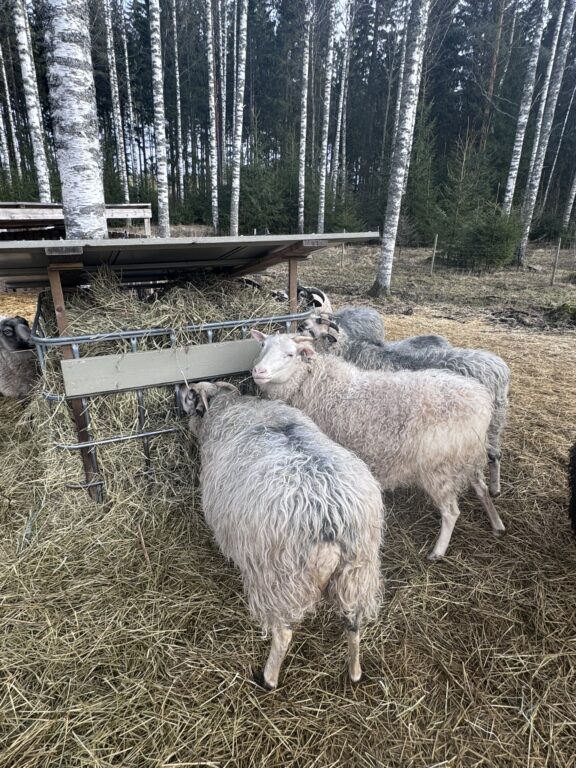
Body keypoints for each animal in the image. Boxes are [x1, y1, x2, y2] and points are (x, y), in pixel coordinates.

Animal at [180, 380, 383, 689]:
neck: (228, 407)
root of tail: (328, 522)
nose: (178, 389)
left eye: (192, 396)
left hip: (280, 580)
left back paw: (268, 678)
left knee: (284, 632)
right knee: (354, 625)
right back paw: (355, 672)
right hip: (357, 574)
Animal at [303, 316, 508, 497]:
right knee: (495, 454)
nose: (301, 325)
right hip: (494, 422)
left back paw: (493, 488)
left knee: (492, 456)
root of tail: (500, 370)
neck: (348, 351)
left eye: (312, 330)